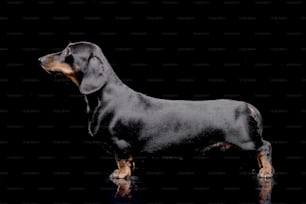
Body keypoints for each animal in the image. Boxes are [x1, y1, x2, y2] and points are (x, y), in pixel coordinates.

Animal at [38, 41, 274, 178]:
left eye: (68, 51)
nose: (39, 59)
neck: (103, 98)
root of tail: (248, 106)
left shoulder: (119, 143)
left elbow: (121, 160)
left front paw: (120, 174)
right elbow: (129, 160)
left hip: (246, 140)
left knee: (265, 147)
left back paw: (266, 171)